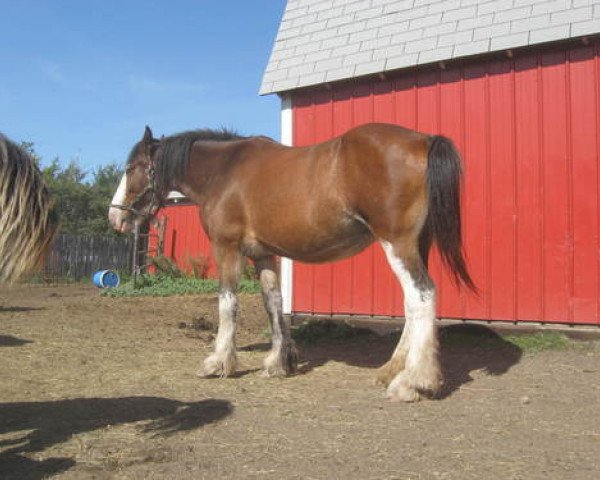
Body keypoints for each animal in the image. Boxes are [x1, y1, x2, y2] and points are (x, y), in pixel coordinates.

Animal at [108, 124, 474, 402]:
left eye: (130, 169)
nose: (115, 217)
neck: (225, 171)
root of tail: (423, 140)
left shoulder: (227, 248)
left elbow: (228, 304)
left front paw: (219, 362)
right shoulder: (264, 254)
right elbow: (273, 303)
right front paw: (279, 362)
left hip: (397, 244)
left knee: (422, 296)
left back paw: (414, 382)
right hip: (416, 246)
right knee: (413, 303)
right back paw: (391, 371)